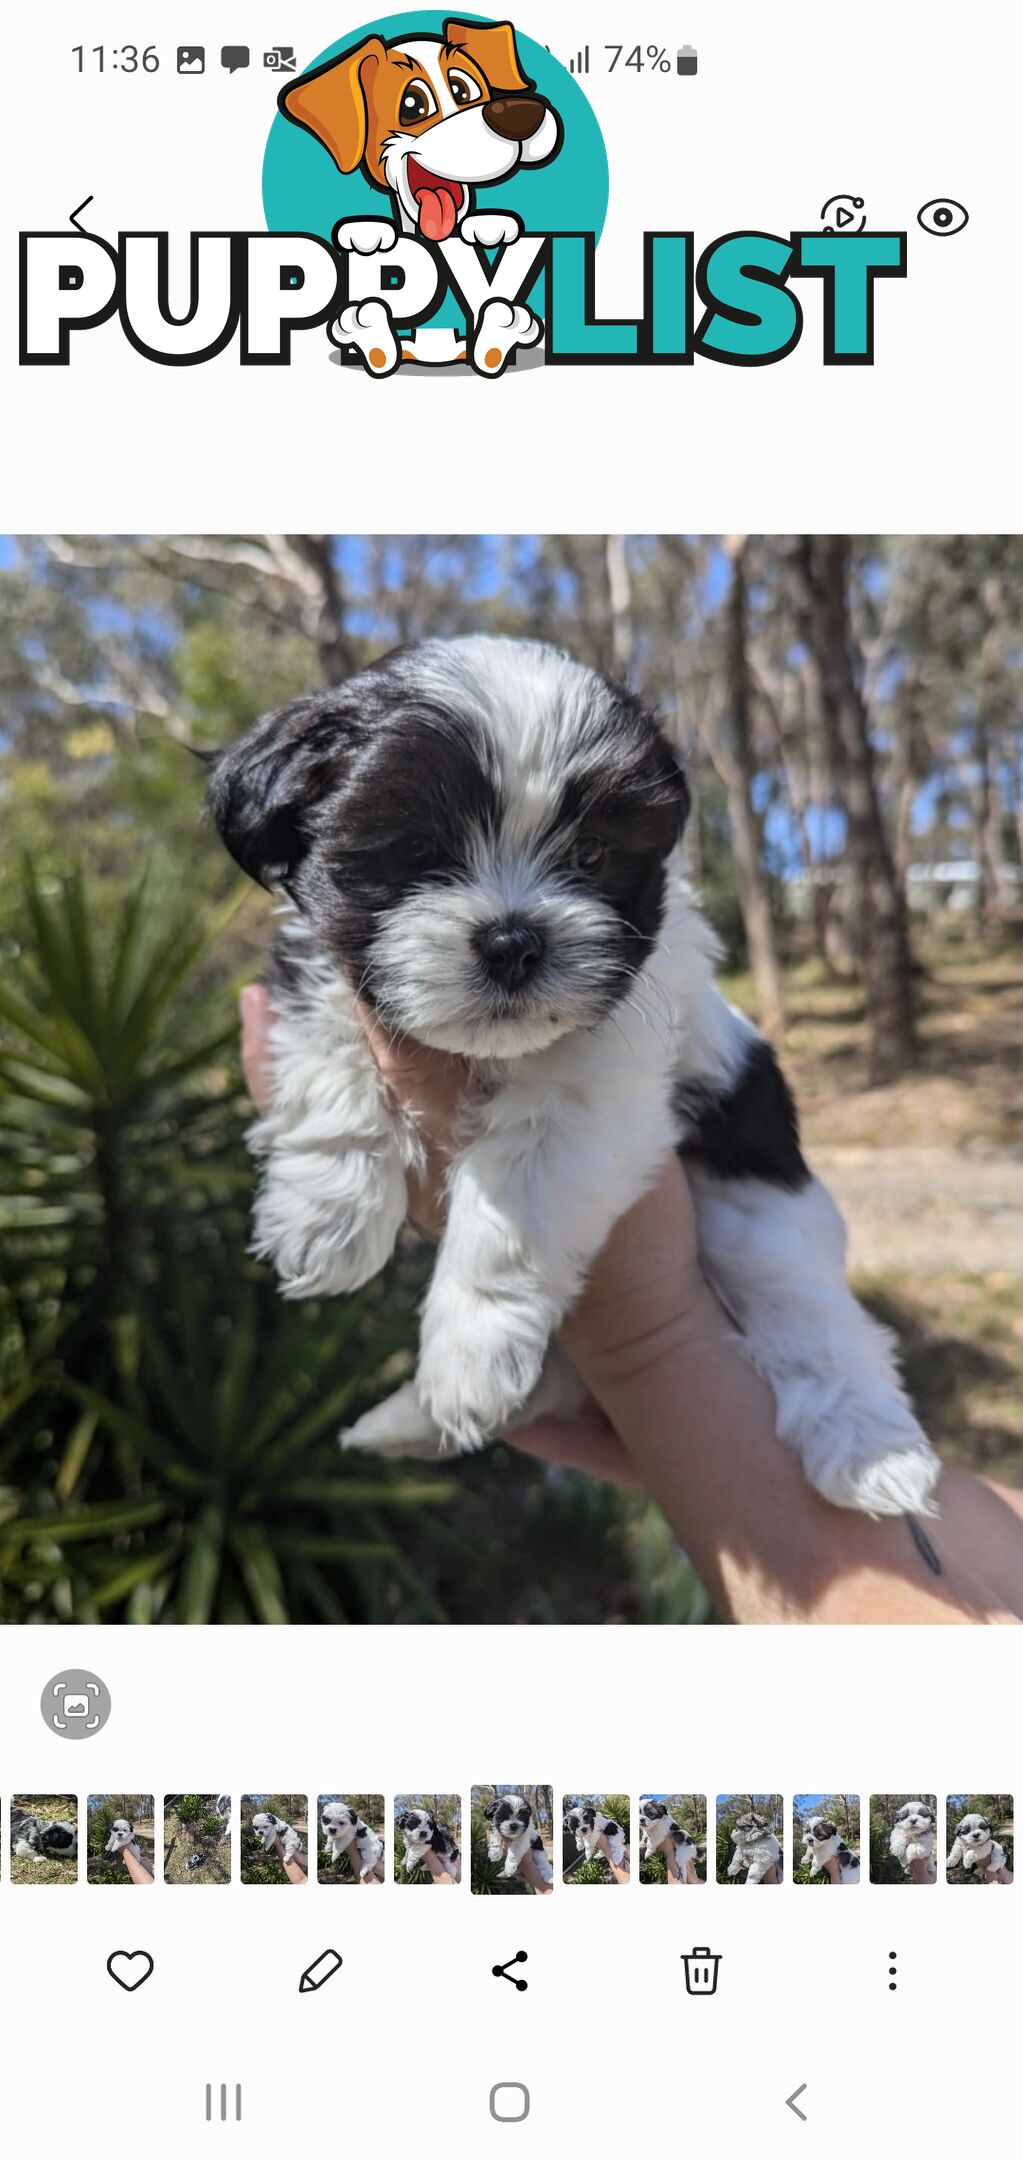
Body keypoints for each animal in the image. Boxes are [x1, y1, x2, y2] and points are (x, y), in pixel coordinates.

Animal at [211, 630, 940, 1520]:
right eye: (416, 850)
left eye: (590, 855)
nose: (513, 941)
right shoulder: (327, 969)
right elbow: (328, 1059)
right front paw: (325, 1215)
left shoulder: (597, 1086)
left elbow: (512, 1213)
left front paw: (469, 1353)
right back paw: (404, 1422)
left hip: (766, 1225)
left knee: (818, 1324)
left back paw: (872, 1451)